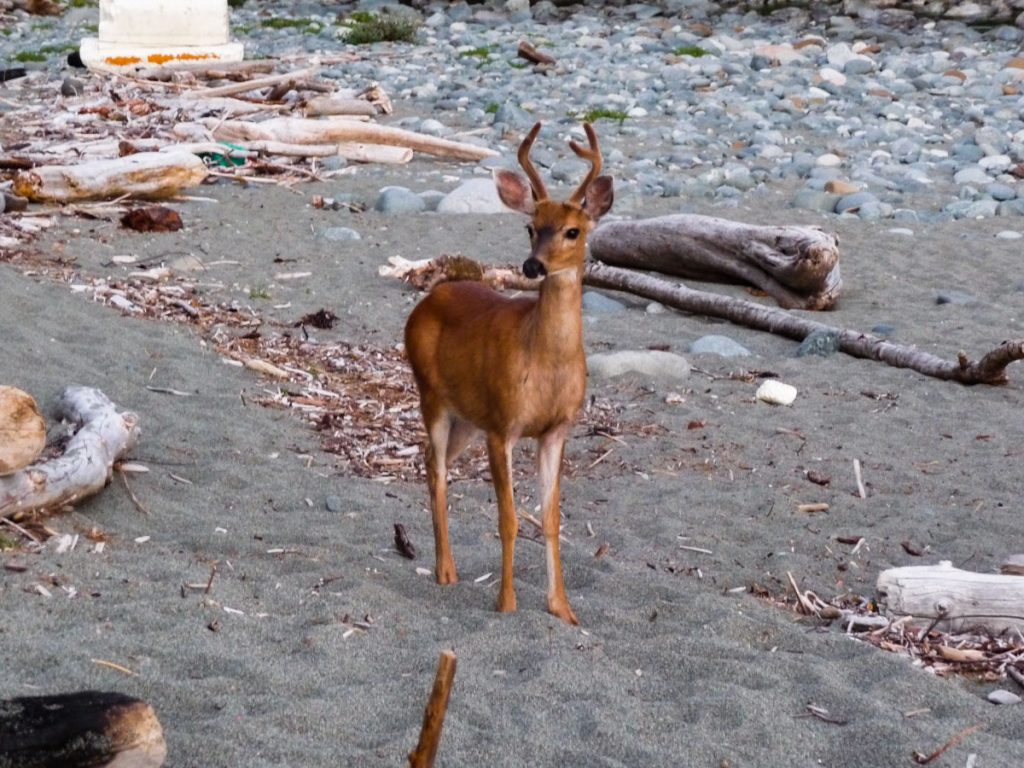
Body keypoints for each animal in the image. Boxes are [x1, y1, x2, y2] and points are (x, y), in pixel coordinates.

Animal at [401, 120, 610, 626]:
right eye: (531, 226)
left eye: (573, 230)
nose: (533, 265)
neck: (546, 361)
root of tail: (427, 301)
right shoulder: (502, 426)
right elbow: (509, 517)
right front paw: (507, 603)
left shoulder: (556, 429)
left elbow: (551, 517)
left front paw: (563, 609)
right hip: (431, 394)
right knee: (436, 470)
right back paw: (446, 571)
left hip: (466, 419)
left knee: (431, 462)